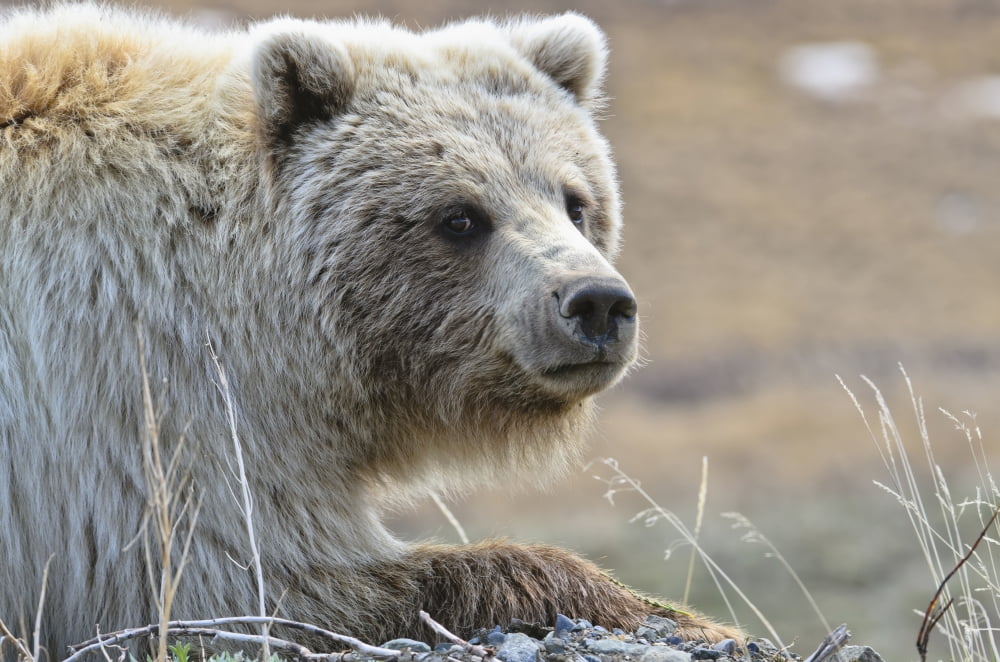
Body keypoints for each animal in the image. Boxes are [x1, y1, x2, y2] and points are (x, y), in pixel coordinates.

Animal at [0, 4, 739, 660]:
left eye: (576, 201)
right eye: (460, 216)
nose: (597, 303)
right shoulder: (133, 395)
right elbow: (245, 582)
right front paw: (687, 616)